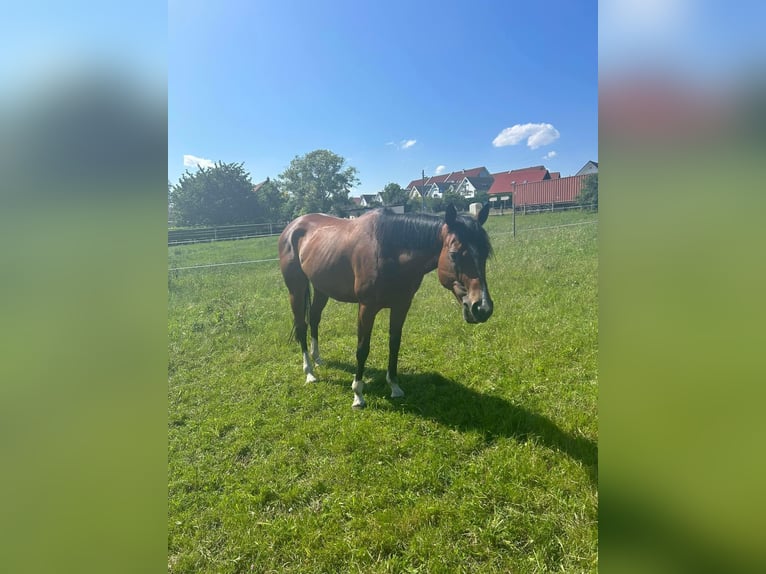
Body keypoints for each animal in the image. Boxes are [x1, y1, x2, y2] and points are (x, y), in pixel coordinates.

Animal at [280, 202, 496, 410]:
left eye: (485, 253)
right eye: (454, 254)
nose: (482, 308)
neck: (388, 251)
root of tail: (293, 226)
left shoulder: (401, 305)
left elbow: (394, 344)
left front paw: (394, 386)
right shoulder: (366, 308)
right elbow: (362, 349)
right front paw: (358, 395)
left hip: (322, 288)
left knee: (314, 319)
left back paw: (317, 359)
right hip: (296, 289)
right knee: (302, 326)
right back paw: (309, 373)